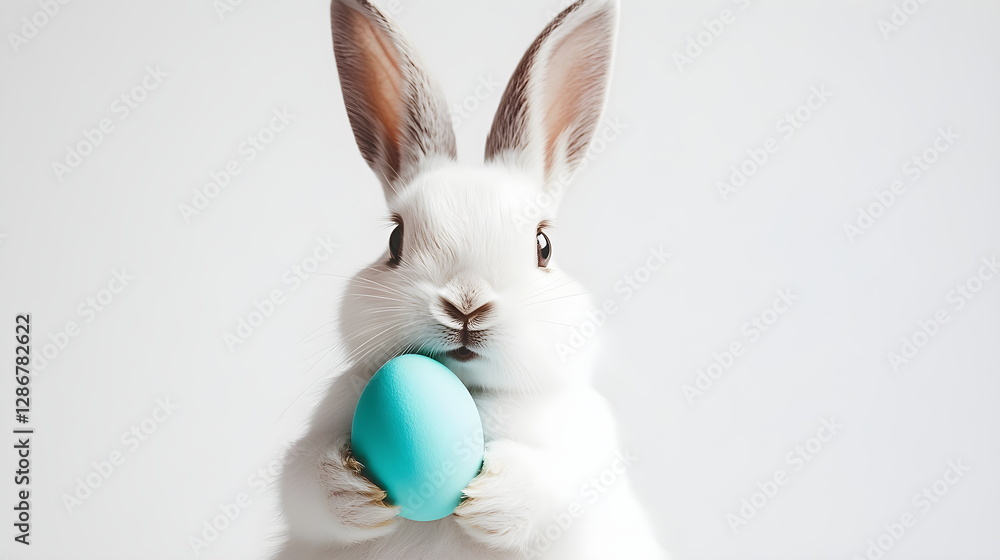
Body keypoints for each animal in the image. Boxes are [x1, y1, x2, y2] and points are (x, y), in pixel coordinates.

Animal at [272, 0, 667, 558]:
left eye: (543, 246)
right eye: (395, 240)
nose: (466, 306)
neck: (474, 393)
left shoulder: (585, 462)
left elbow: (552, 493)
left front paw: (491, 494)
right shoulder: (308, 459)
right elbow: (304, 484)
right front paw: (353, 488)